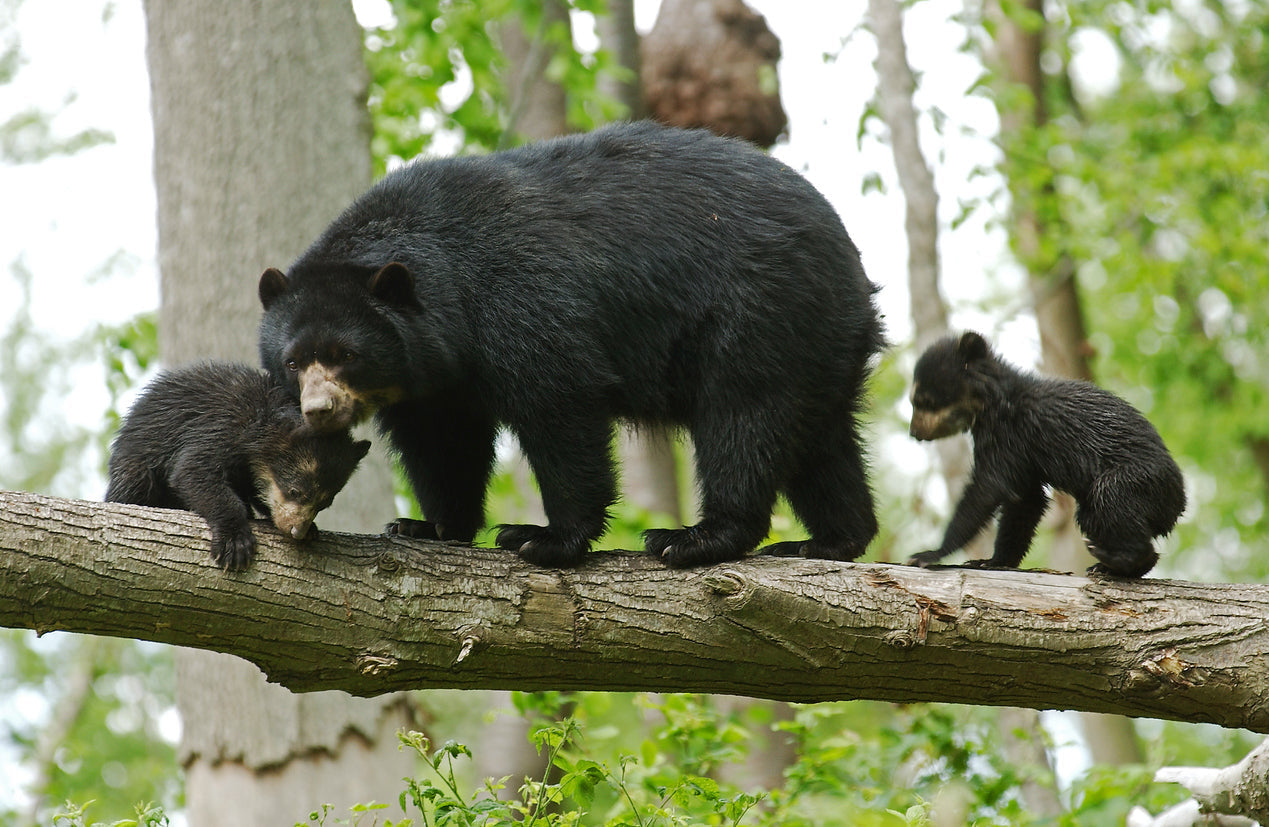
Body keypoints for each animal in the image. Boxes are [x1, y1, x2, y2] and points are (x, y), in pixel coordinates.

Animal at [106, 362, 370, 568]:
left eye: (325, 503)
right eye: (294, 490)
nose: (297, 532)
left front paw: (311, 528)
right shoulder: (221, 426)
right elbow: (193, 471)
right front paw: (234, 542)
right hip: (135, 465)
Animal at [257, 119, 883, 565]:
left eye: (346, 356)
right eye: (292, 362)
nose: (319, 410)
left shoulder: (517, 299)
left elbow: (559, 404)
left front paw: (543, 538)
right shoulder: (431, 378)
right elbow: (443, 441)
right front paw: (428, 526)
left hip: (760, 312)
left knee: (743, 416)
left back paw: (695, 538)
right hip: (818, 339)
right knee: (820, 438)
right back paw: (830, 540)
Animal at [908, 332, 1182, 578]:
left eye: (924, 401)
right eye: (915, 401)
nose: (914, 433)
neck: (991, 403)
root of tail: (1179, 504)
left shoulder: (1010, 436)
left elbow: (987, 488)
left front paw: (928, 554)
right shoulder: (1022, 455)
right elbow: (1026, 501)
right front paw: (992, 561)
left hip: (1137, 480)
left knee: (1111, 497)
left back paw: (1112, 557)